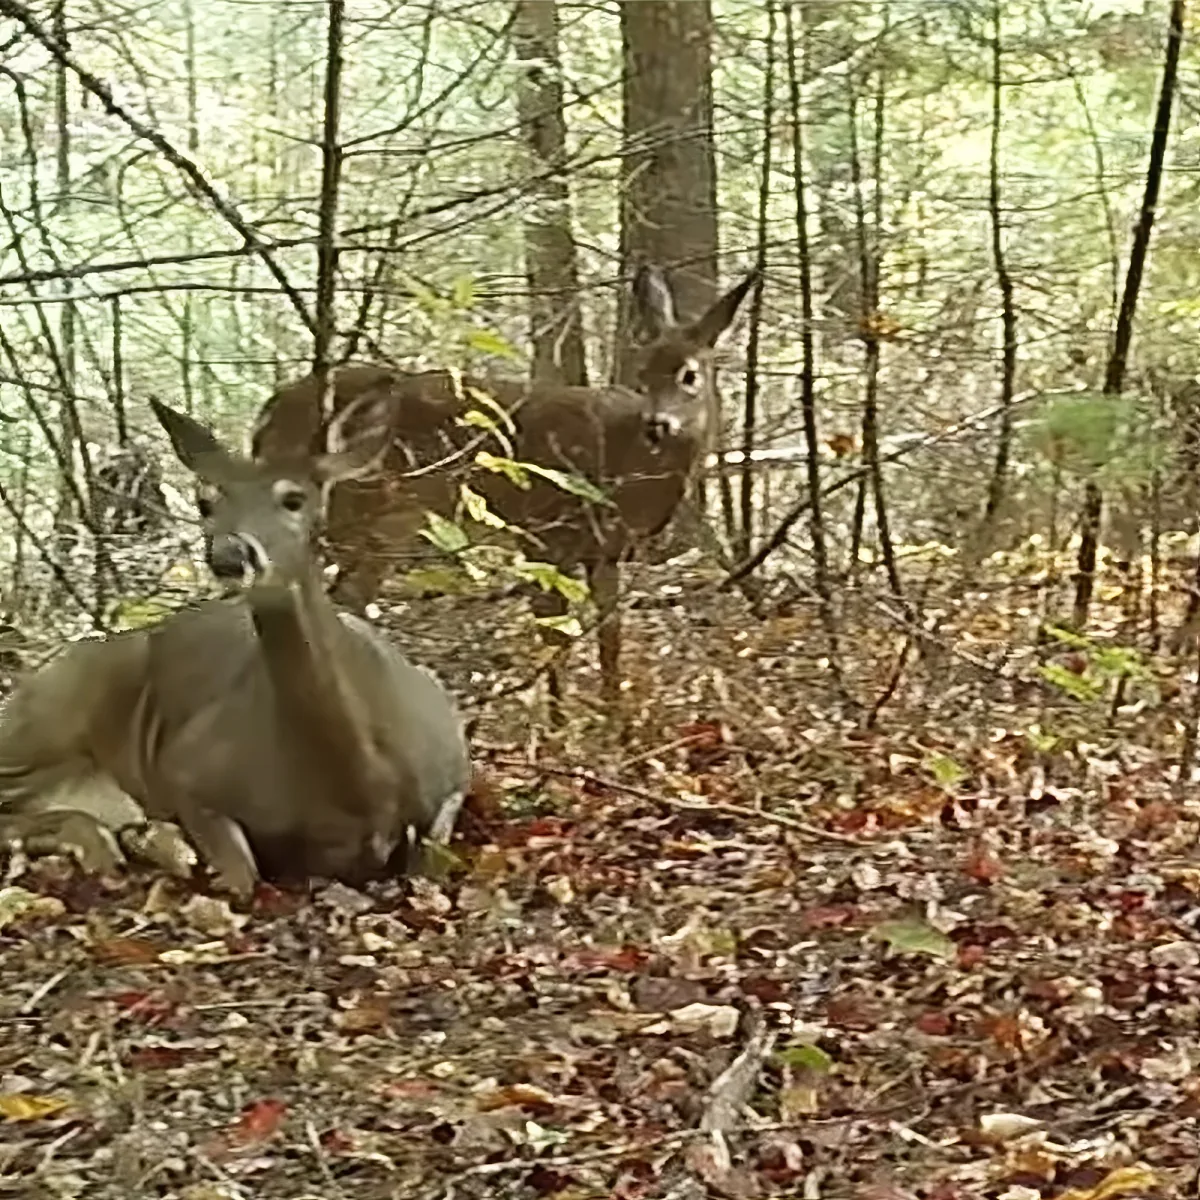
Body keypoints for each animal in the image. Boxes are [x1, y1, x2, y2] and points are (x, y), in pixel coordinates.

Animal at [0, 392, 471, 899]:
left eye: (293, 498)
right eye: (206, 502)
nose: (229, 556)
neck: (356, 788)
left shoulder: (454, 769)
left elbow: (429, 865)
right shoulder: (187, 768)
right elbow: (242, 876)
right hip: (52, 712)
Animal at [250, 264, 758, 710]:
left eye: (689, 374)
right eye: (643, 373)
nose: (658, 424)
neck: (623, 463)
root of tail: (266, 416)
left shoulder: (603, 552)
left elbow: (610, 640)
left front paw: (618, 722)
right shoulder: (543, 534)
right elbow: (554, 639)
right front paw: (559, 731)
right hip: (372, 517)